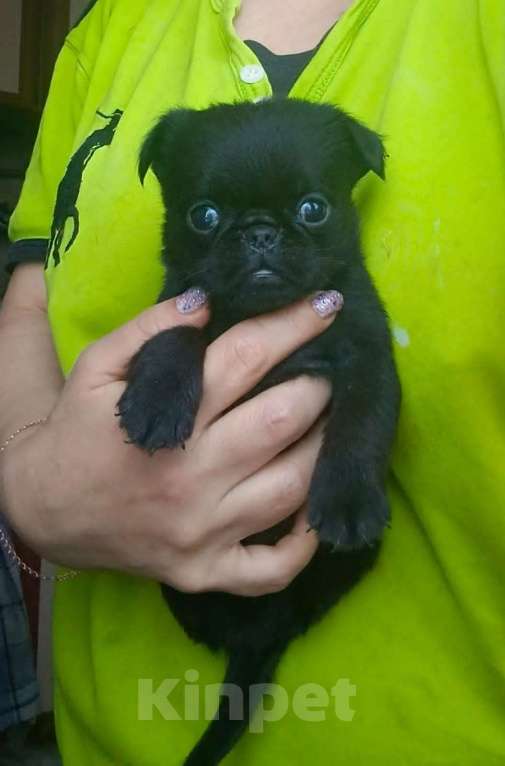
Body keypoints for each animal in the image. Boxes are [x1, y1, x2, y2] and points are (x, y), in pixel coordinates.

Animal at [116, 102, 400, 766]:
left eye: (313, 209)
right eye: (205, 215)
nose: (260, 233)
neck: (261, 314)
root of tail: (262, 633)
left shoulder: (369, 355)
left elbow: (362, 421)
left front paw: (347, 499)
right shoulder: (183, 299)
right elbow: (177, 332)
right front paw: (157, 398)